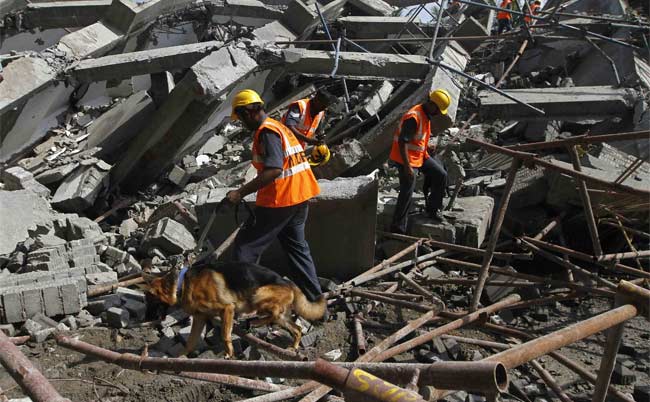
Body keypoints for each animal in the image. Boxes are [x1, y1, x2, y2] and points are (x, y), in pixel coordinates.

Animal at [142, 260, 324, 358]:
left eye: (151, 302)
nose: (145, 322)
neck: (182, 284)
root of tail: (288, 282)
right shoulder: (200, 318)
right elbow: (191, 342)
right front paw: (180, 357)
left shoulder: (227, 308)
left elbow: (225, 334)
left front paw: (229, 353)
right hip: (281, 317)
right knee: (297, 328)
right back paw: (293, 346)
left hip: (258, 295)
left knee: (273, 313)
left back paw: (255, 322)